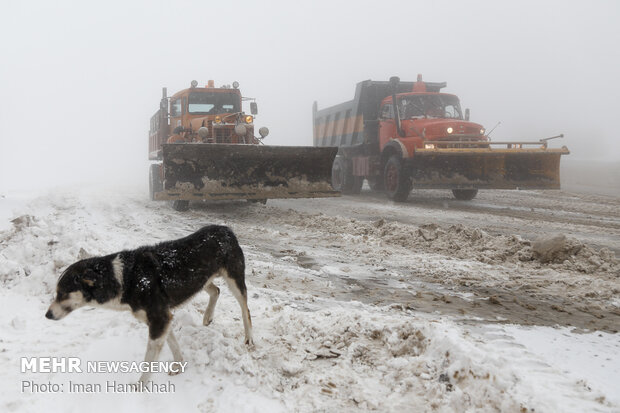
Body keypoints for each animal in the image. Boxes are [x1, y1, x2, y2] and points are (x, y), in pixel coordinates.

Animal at [44, 224, 252, 382]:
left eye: (62, 293)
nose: (47, 315)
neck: (125, 278)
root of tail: (226, 229)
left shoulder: (159, 319)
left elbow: (149, 361)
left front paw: (139, 389)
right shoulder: (162, 319)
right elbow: (173, 345)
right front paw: (178, 366)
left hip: (234, 279)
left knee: (245, 310)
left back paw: (249, 338)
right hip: (201, 281)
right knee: (216, 291)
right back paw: (208, 316)